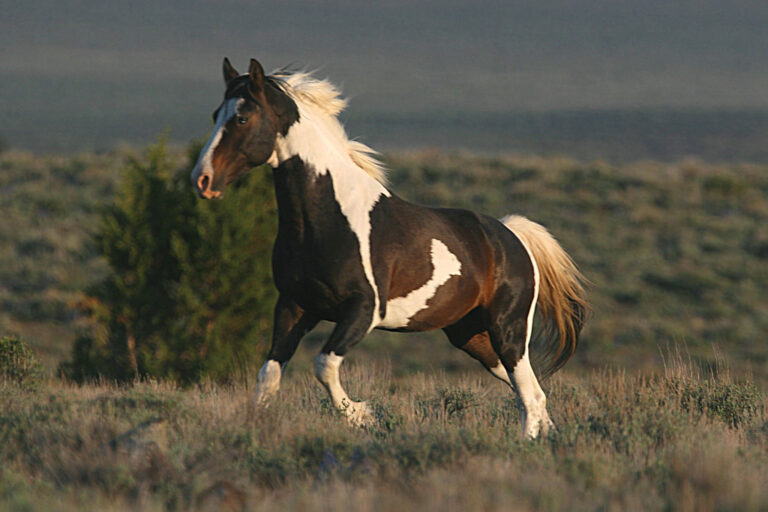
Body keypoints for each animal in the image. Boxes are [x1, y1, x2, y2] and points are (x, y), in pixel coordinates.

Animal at [192, 58, 588, 438]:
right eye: (214, 115)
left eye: (242, 117)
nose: (202, 180)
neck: (326, 217)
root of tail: (511, 234)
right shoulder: (294, 306)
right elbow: (269, 376)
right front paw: (253, 428)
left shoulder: (363, 309)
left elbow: (324, 365)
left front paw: (362, 416)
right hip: (471, 335)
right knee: (530, 390)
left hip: (508, 329)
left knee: (530, 393)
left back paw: (527, 440)